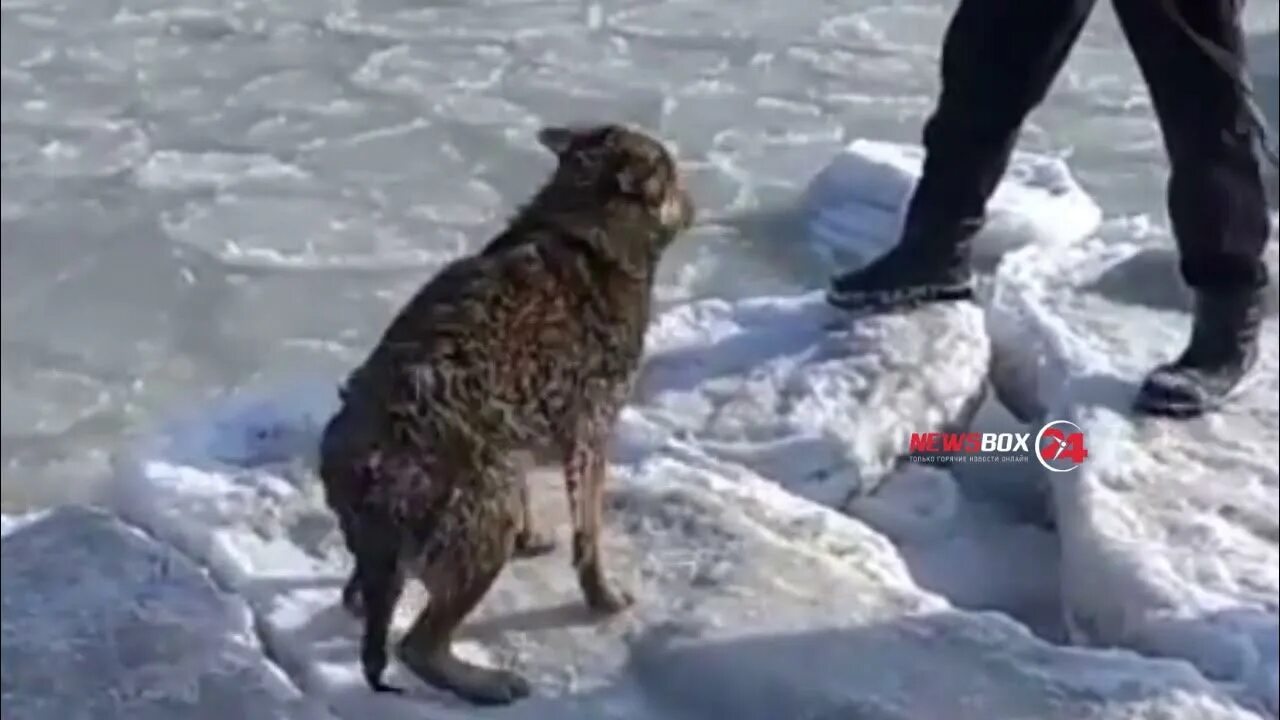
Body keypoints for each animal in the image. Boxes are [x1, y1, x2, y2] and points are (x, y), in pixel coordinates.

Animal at [322, 122, 701, 702]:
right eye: (673, 176)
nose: (699, 204)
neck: (584, 230)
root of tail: (373, 462)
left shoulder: (513, 429)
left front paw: (533, 539)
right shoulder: (591, 435)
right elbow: (589, 536)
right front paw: (603, 597)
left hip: (413, 530)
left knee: (366, 599)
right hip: (481, 521)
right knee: (417, 646)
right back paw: (486, 683)